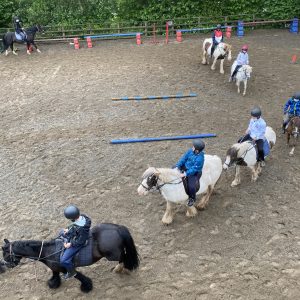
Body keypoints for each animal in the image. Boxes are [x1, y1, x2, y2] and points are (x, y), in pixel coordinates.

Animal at [0, 224, 139, 292]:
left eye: (5, 253)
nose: (4, 265)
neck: (47, 251)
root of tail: (117, 228)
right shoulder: (55, 268)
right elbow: (55, 275)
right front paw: (53, 283)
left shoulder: (67, 268)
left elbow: (79, 276)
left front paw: (86, 287)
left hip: (112, 255)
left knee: (124, 257)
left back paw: (120, 268)